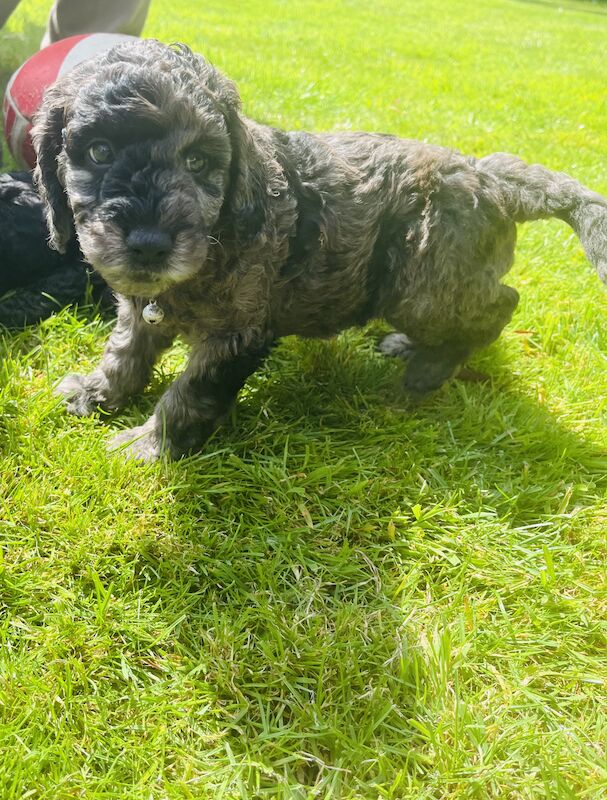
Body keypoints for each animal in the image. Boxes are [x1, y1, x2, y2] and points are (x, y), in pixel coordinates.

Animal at [30, 39, 607, 462]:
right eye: (99, 152)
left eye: (197, 163)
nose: (149, 245)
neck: (220, 233)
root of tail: (490, 178)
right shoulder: (142, 308)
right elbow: (125, 351)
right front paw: (97, 392)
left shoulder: (238, 332)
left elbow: (190, 394)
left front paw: (150, 445)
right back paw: (407, 348)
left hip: (424, 282)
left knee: (499, 305)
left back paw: (423, 372)